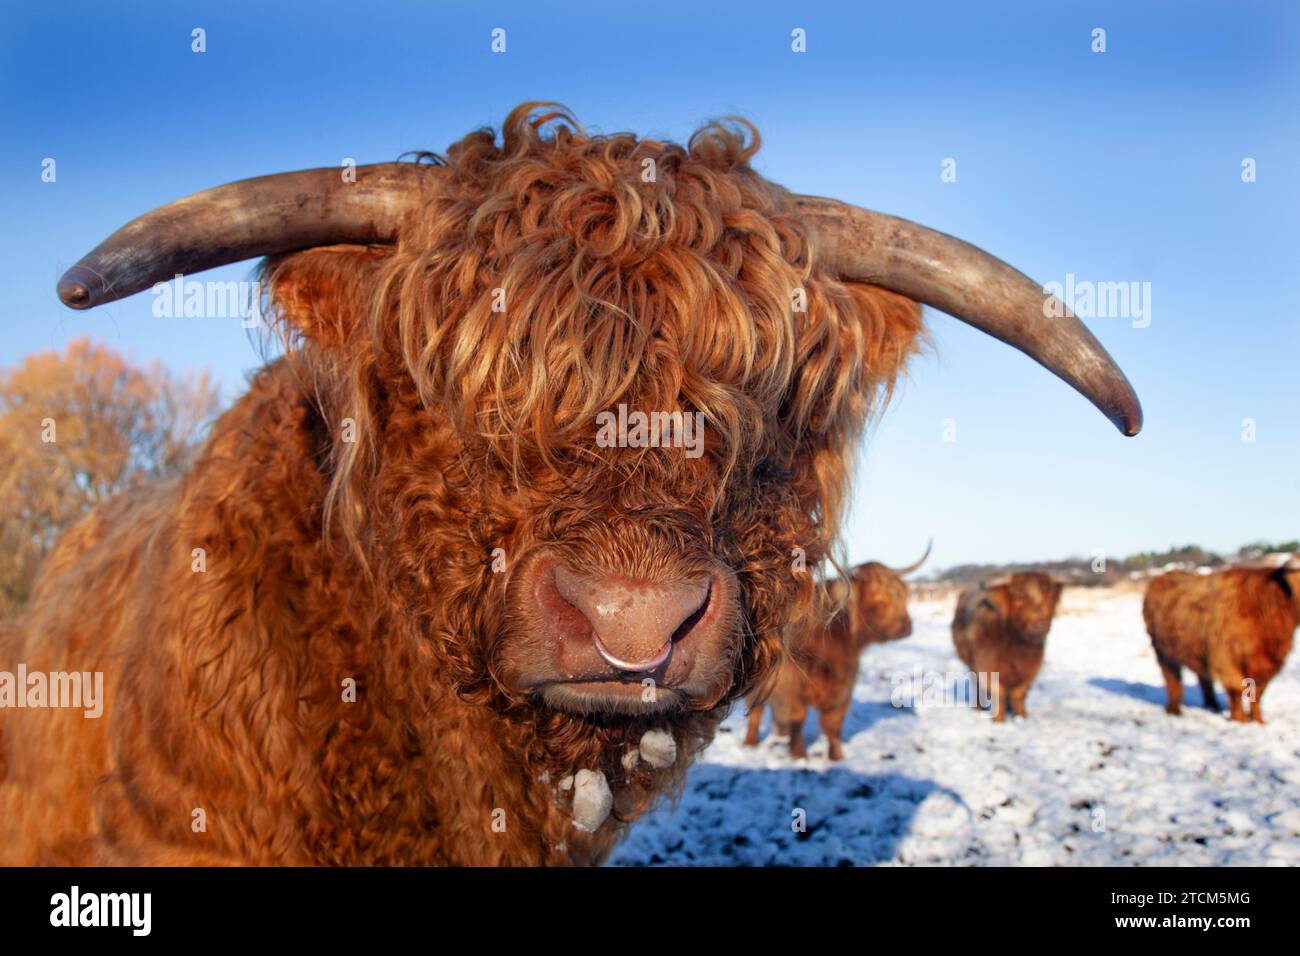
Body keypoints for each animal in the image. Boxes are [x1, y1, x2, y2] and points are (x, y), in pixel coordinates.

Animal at [743, 546, 925, 764]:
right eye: (878, 595)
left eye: (901, 593)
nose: (907, 627)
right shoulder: (792, 684)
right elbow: (797, 718)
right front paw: (798, 755)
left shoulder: (843, 687)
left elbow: (833, 725)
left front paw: (837, 756)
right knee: (756, 711)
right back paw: (750, 742)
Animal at [951, 572, 1060, 723]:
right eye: (1020, 598)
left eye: (1049, 597)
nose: (1040, 624)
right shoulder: (988, 668)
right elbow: (999, 693)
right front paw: (999, 720)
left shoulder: (1030, 670)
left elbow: (1019, 694)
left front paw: (1021, 716)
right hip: (971, 663)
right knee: (976, 683)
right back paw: (978, 707)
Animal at [1144, 564, 1294, 723]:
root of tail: (1164, 576)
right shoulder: (1226, 658)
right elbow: (1236, 689)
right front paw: (1240, 720)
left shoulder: (1267, 662)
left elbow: (1257, 693)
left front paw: (1258, 720)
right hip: (1163, 652)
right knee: (1172, 679)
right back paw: (1174, 710)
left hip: (1197, 651)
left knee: (1204, 680)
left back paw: (1212, 706)